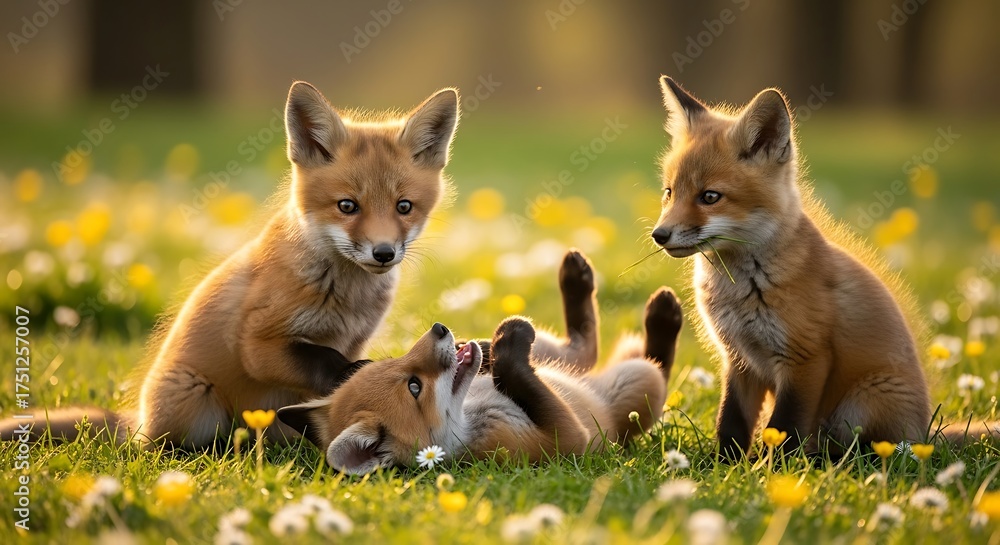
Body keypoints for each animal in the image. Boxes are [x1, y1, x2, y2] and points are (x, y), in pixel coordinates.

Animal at [1, 81, 460, 448]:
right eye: (347, 206)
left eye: (404, 207)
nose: (383, 253)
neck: (345, 297)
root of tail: (138, 420)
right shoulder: (257, 341)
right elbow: (323, 362)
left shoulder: (355, 339)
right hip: (195, 406)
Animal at [276, 250, 684, 474]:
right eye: (414, 387)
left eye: (392, 361)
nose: (439, 329)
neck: (472, 413)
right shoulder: (565, 441)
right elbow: (519, 375)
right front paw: (510, 343)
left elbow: (506, 368)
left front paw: (494, 345)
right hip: (635, 385)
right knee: (649, 365)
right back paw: (663, 318)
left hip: (559, 357)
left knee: (582, 348)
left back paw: (576, 279)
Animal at [649, 76, 999, 459]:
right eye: (669, 192)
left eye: (710, 197)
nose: (659, 235)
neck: (743, 287)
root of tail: (926, 433)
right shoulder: (738, 359)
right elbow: (731, 421)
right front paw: (724, 464)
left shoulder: (806, 358)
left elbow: (784, 427)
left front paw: (772, 469)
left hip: (864, 402)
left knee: (868, 449)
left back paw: (822, 459)